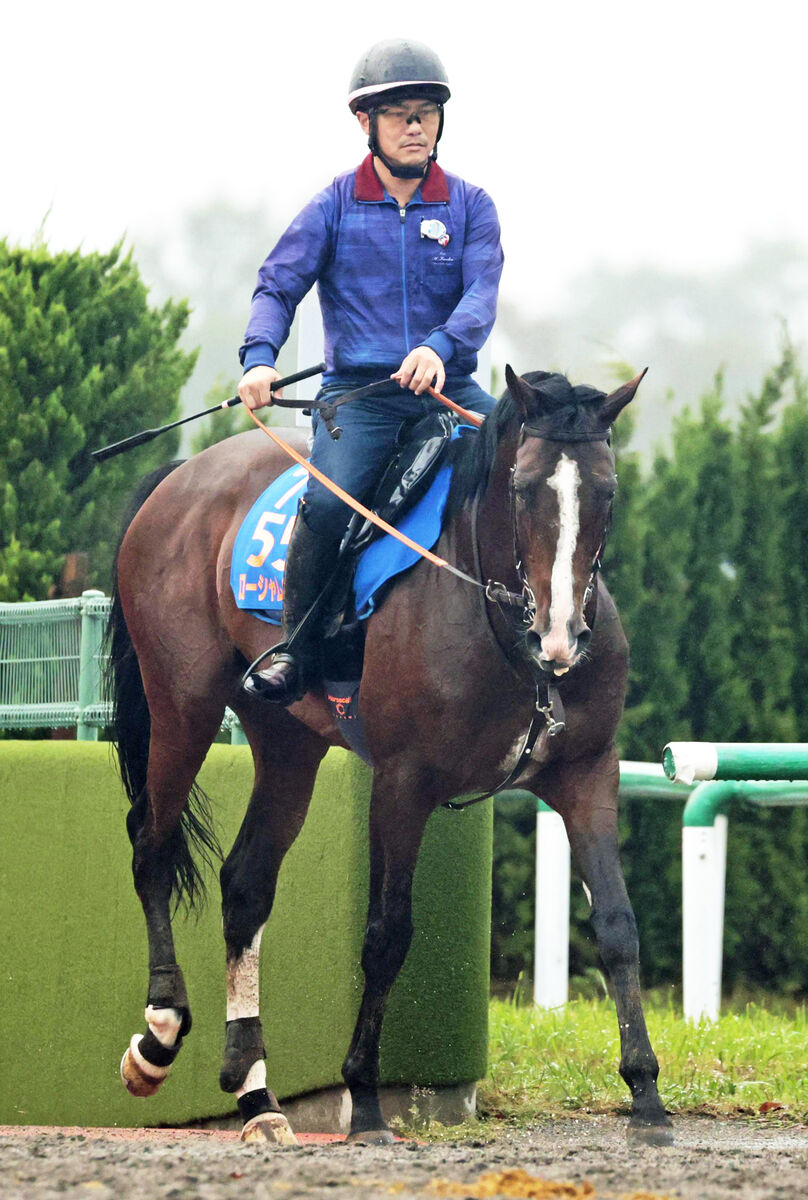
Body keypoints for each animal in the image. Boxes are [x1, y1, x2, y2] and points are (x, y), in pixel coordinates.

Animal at [108, 362, 672, 1142]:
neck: (500, 622)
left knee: (245, 886)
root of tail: (183, 474)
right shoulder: (403, 786)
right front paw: (365, 1096)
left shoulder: (587, 776)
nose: (560, 638)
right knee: (151, 846)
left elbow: (618, 926)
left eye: (607, 492)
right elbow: (386, 934)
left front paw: (645, 1093)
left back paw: (255, 1094)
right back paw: (159, 1034)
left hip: (286, 742)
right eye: (525, 487)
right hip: (182, 705)